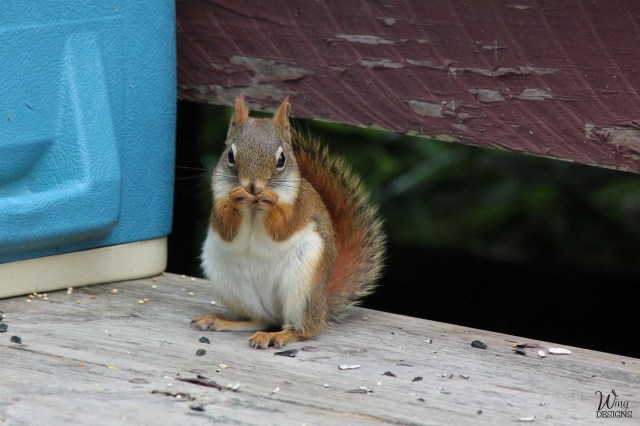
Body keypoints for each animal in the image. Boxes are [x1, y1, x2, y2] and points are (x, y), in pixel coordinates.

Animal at [192, 96, 386, 349]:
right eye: (230, 156)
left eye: (281, 159)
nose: (253, 186)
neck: (253, 209)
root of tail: (322, 302)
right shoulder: (219, 199)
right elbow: (226, 227)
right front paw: (237, 198)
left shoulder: (298, 206)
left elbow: (282, 227)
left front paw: (270, 200)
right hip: (231, 282)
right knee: (260, 319)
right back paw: (222, 321)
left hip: (303, 284)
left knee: (303, 328)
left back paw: (278, 335)